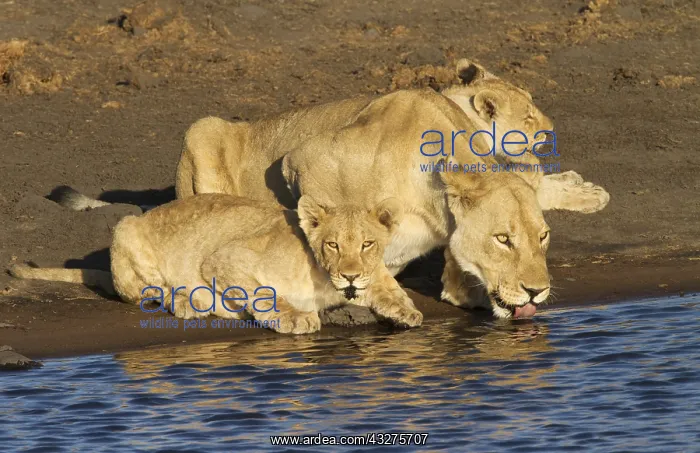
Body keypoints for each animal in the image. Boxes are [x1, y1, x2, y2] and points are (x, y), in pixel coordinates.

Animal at [9, 194, 422, 333]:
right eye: (332, 244)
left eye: (367, 244)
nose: (350, 276)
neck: (322, 276)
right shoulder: (224, 258)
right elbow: (263, 292)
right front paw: (295, 317)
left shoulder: (370, 275)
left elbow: (386, 285)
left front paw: (405, 310)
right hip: (126, 228)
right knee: (149, 291)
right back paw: (189, 302)